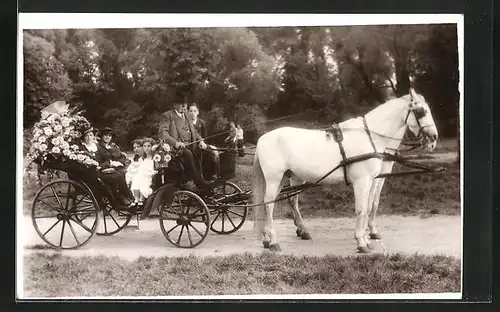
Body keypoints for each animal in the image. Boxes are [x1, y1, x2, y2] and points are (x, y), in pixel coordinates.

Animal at [252, 88, 436, 254]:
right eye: (421, 112)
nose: (434, 138)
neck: (370, 137)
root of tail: (262, 139)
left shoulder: (372, 180)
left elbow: (369, 206)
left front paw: (367, 238)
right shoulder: (363, 181)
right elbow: (362, 208)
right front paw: (361, 241)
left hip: (288, 177)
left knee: (282, 202)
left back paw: (271, 237)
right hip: (274, 178)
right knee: (269, 204)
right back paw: (274, 241)